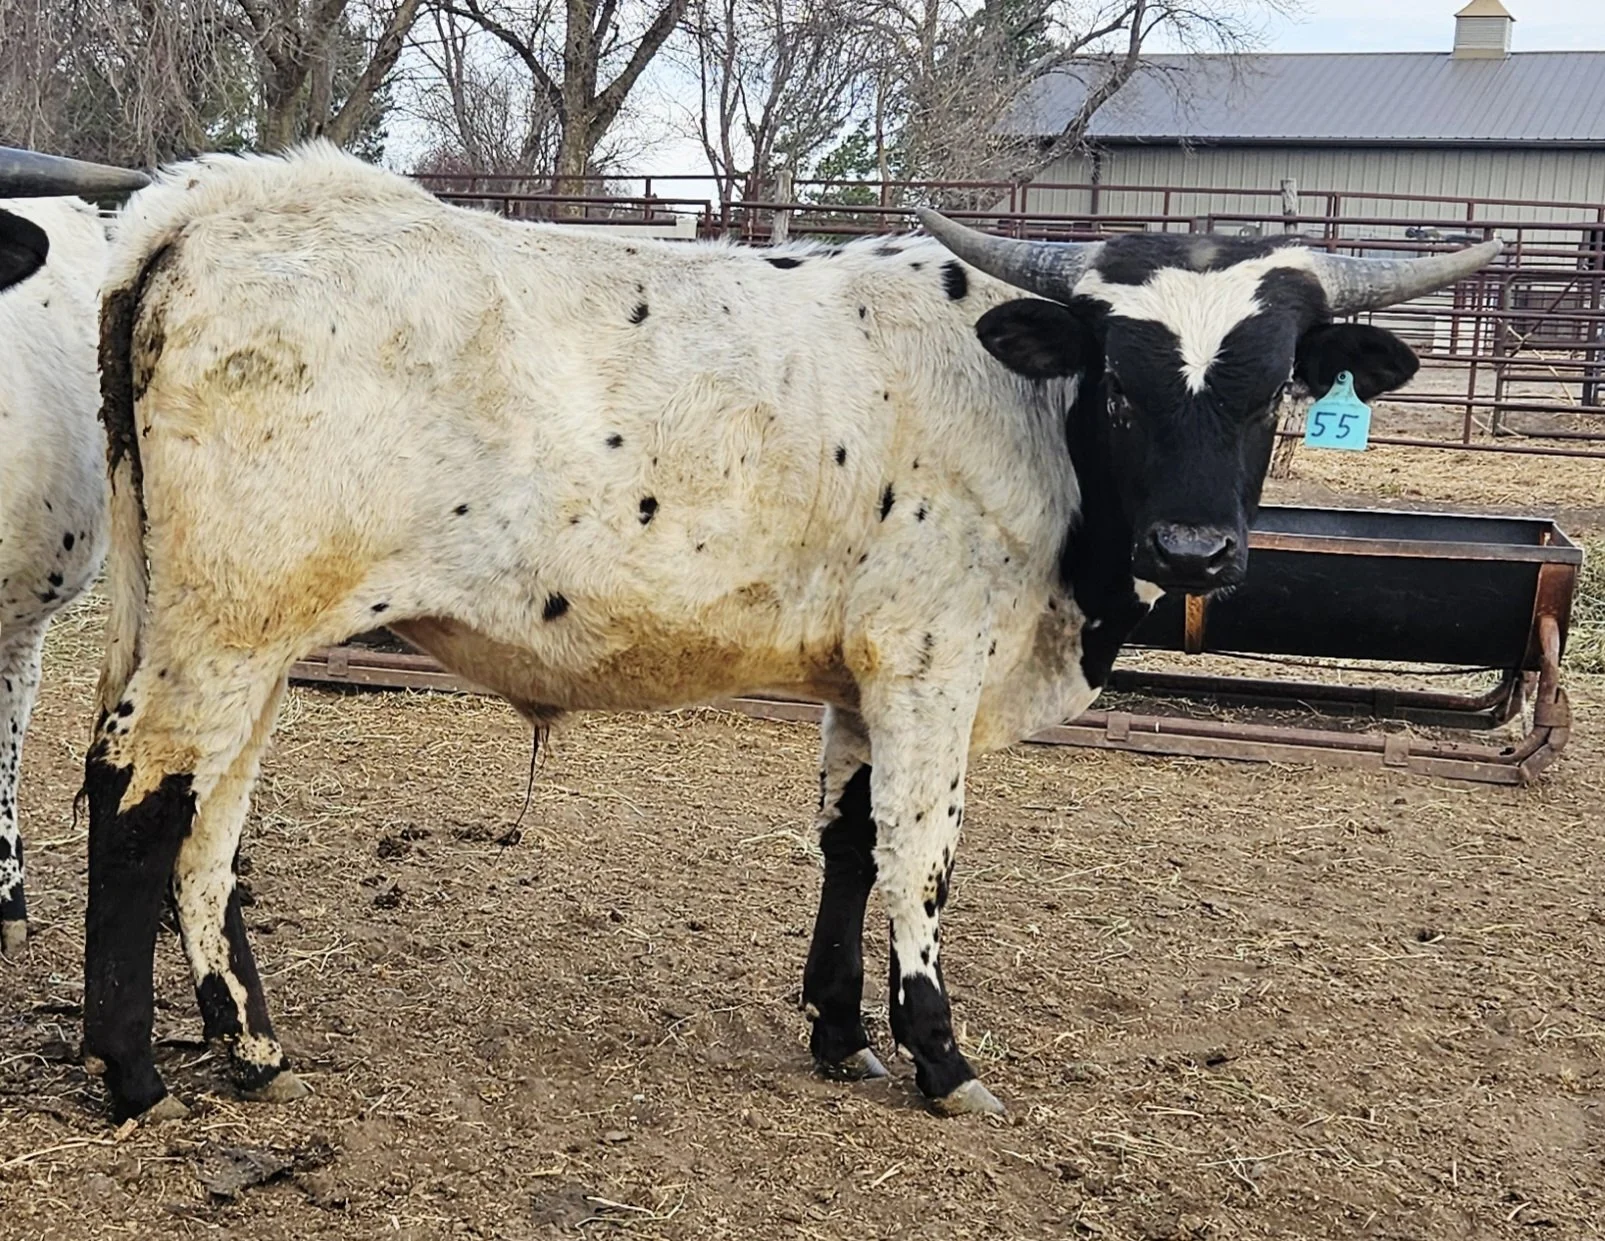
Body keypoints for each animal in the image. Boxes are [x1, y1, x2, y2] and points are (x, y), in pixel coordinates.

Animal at [78, 143, 1499, 1123]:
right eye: (1120, 378)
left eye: (1274, 385)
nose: (1195, 552)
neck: (1025, 411)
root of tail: (215, 203)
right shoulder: (932, 667)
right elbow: (924, 860)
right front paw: (939, 1052)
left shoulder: (864, 677)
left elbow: (852, 843)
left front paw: (839, 1030)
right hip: (226, 624)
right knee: (138, 796)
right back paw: (134, 1070)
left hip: (235, 628)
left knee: (210, 819)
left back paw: (250, 1043)